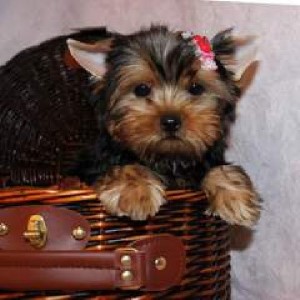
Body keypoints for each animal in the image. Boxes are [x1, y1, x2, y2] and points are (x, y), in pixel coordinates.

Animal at [67, 25, 260, 226]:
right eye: (141, 89)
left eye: (196, 88)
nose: (171, 121)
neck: (168, 158)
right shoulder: (94, 165)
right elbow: (123, 166)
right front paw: (136, 191)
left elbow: (216, 168)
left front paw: (235, 196)